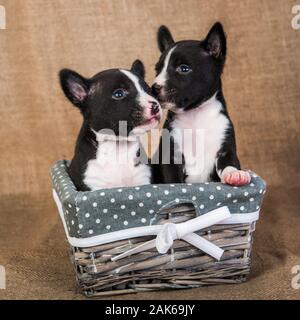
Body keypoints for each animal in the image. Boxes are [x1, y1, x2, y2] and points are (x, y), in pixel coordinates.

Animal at [152, 22, 251, 186]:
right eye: (157, 70)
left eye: (184, 69)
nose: (154, 87)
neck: (196, 115)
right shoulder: (171, 156)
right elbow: (174, 180)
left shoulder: (226, 149)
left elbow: (229, 163)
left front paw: (235, 174)